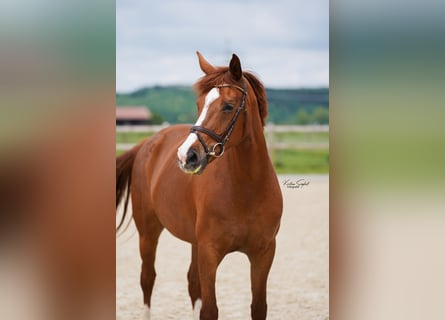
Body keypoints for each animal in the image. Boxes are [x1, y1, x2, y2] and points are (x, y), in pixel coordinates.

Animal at [116, 51, 282, 318]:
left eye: (228, 106)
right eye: (199, 105)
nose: (187, 156)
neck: (247, 190)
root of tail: (147, 143)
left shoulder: (263, 254)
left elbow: (258, 307)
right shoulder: (209, 253)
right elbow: (210, 309)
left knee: (192, 283)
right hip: (148, 232)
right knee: (147, 279)